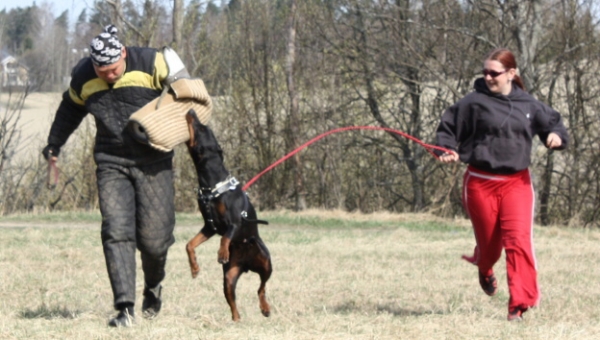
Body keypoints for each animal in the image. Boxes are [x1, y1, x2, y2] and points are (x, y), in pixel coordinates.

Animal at [184, 109, 274, 322]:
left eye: (202, 128)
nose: (191, 111)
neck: (211, 186)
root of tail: (247, 265)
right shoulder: (209, 226)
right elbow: (189, 244)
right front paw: (194, 268)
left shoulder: (234, 222)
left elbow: (225, 237)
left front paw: (222, 252)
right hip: (229, 277)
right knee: (232, 298)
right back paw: (236, 319)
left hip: (266, 263)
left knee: (261, 288)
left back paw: (265, 308)